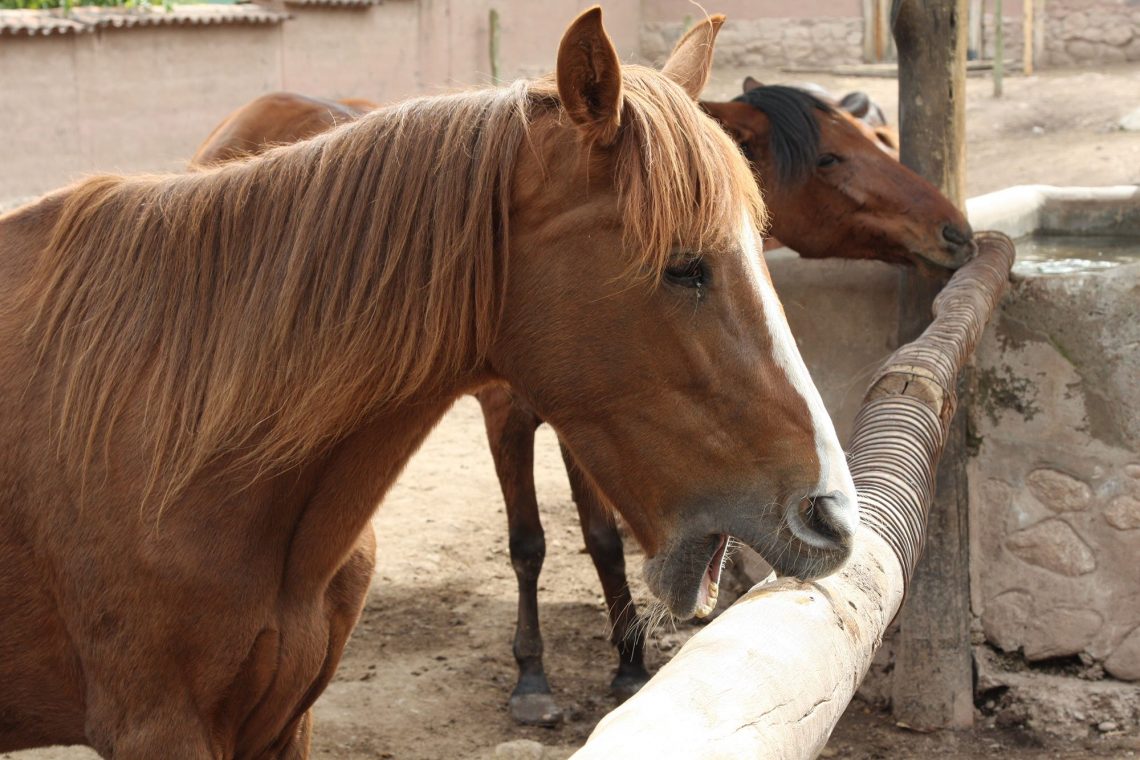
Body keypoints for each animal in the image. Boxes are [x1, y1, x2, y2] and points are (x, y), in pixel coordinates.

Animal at [189, 79, 974, 727]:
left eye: (880, 140)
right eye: (830, 160)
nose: (956, 231)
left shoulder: (590, 416)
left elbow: (601, 538)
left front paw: (628, 662)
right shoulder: (509, 414)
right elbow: (530, 544)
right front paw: (532, 679)